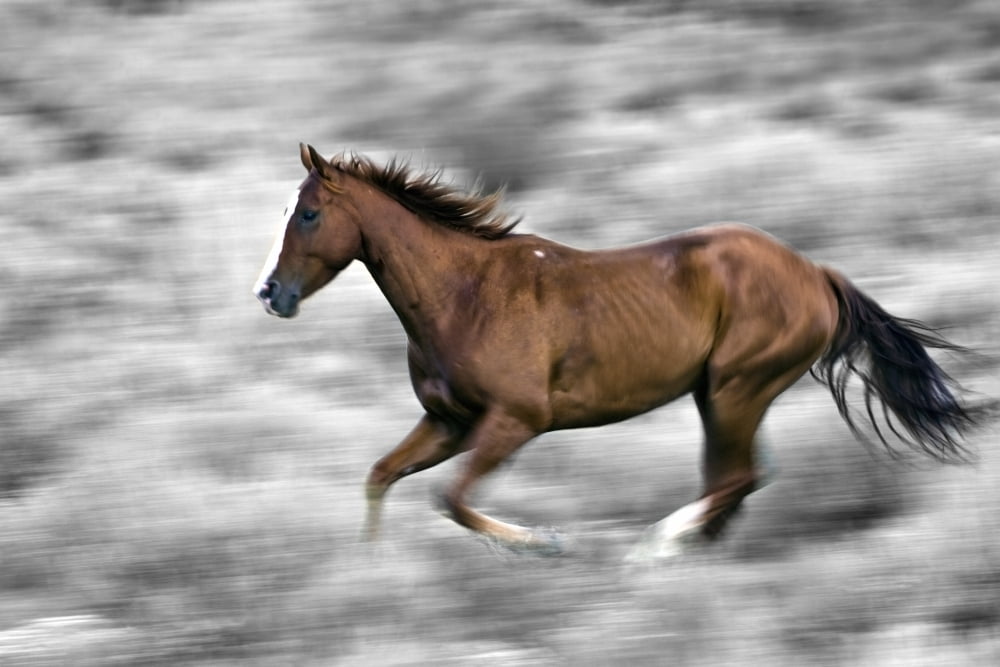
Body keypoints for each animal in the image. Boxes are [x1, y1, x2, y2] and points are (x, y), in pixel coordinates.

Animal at [254, 144, 987, 560]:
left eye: (309, 214)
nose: (270, 293)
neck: (464, 293)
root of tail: (818, 275)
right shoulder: (450, 422)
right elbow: (381, 476)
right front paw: (371, 566)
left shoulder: (514, 421)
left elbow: (451, 499)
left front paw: (546, 544)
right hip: (720, 394)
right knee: (738, 480)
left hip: (735, 388)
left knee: (737, 478)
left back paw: (657, 548)